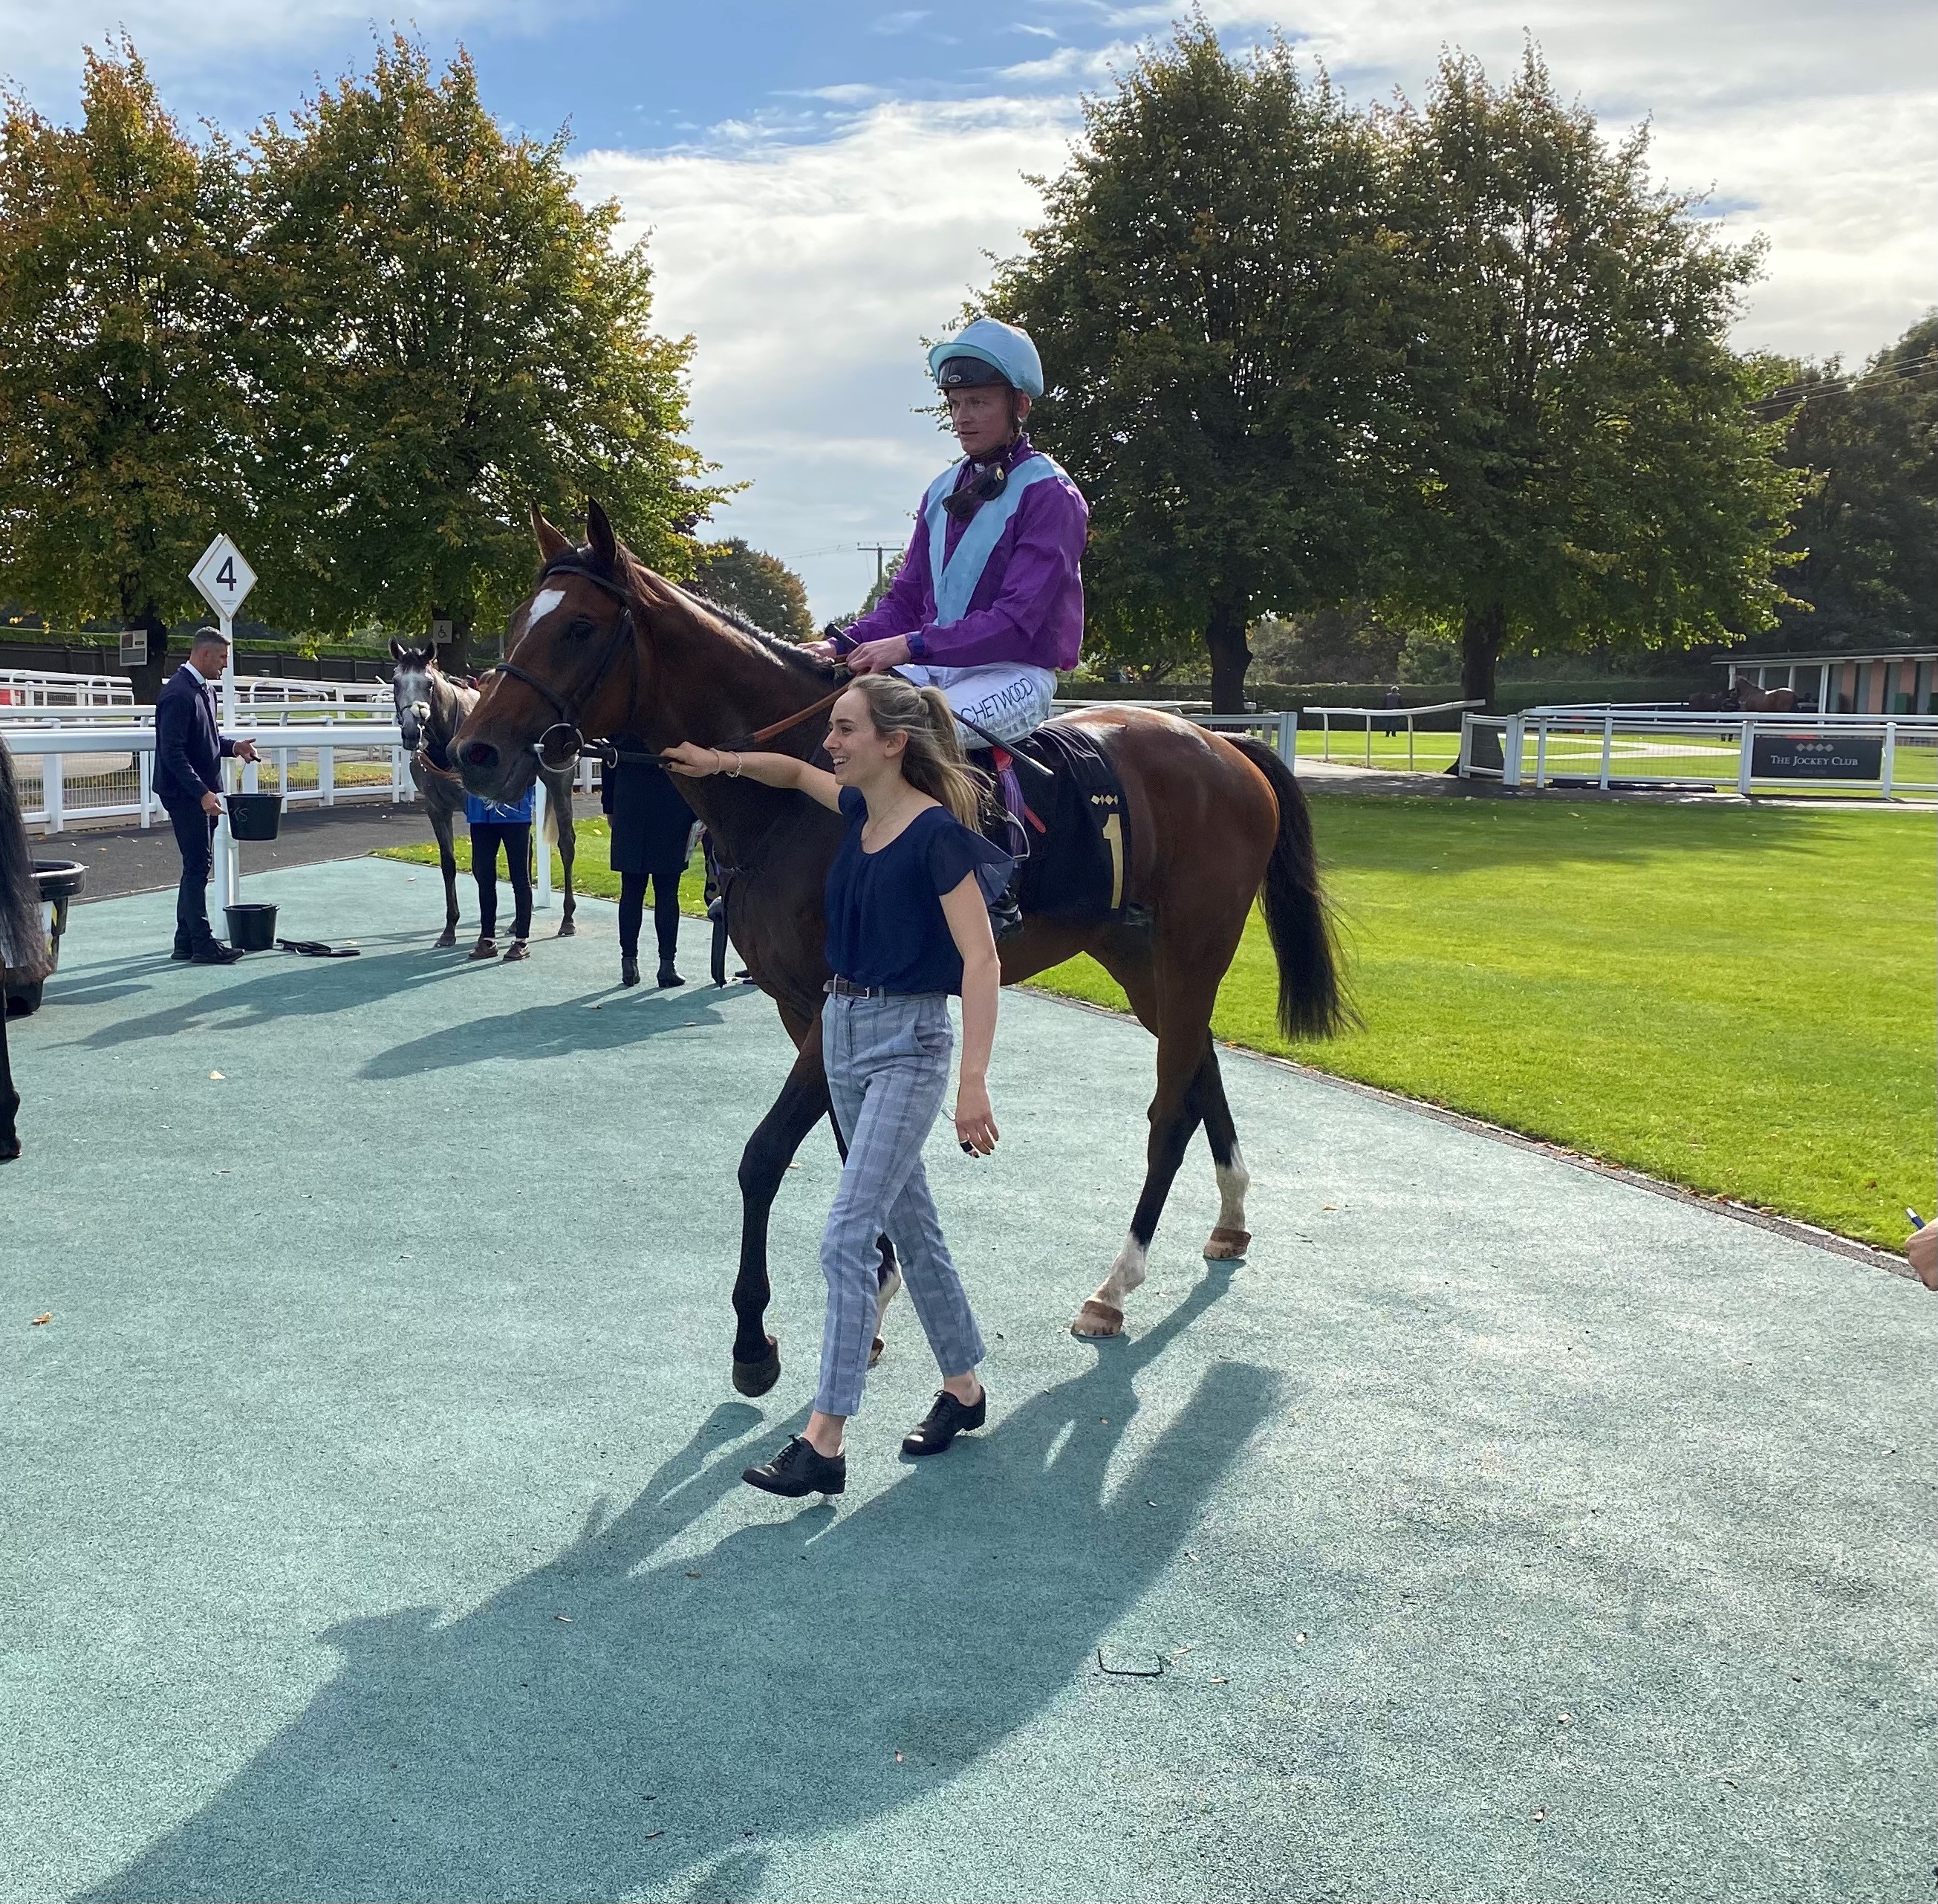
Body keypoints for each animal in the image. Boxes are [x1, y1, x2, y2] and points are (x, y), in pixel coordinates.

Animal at [386, 640, 577, 946]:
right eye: (395, 681)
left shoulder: (473, 807)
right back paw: (516, 922)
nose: (411, 732)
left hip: (559, 783)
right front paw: (449, 929)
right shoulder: (436, 809)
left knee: (566, 843)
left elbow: (480, 867)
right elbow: (448, 864)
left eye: (429, 684)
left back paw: (567, 919)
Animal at [449, 504, 1348, 1403]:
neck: (796, 797)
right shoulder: (803, 1008)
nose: (473, 753)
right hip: (1139, 959)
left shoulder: (831, 1001)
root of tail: (1223, 748)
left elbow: (764, 1156)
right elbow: (856, 1150)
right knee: (1200, 1069)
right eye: (514, 621)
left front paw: (755, 1339)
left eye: (577, 626)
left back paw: (1113, 1286)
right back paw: (1229, 1219)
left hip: (1194, 948)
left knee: (1168, 1110)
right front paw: (876, 1293)